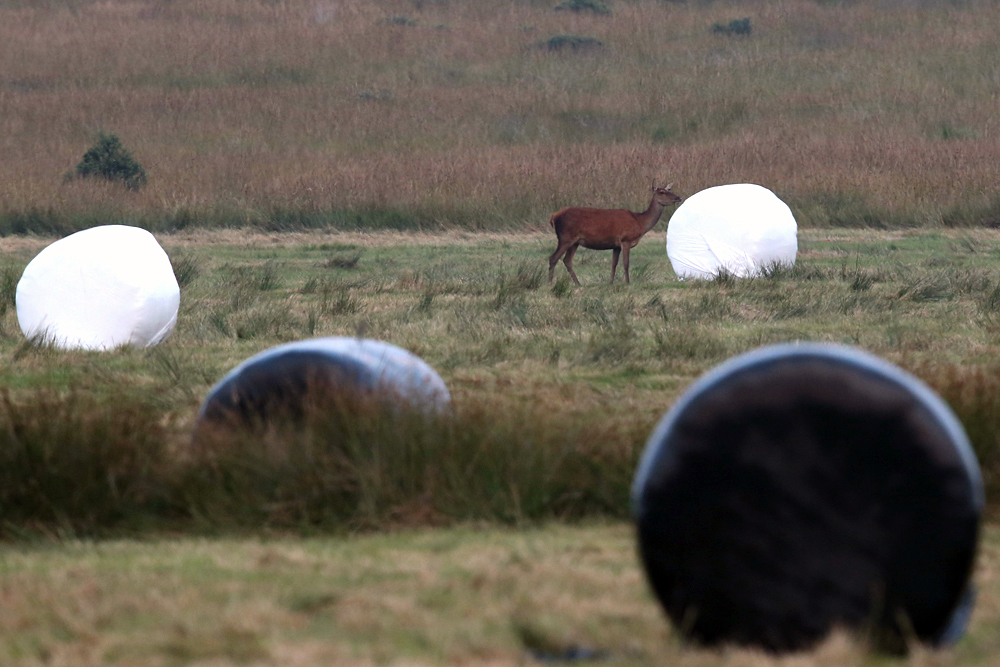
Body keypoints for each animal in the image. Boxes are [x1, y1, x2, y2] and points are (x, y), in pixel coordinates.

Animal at [548, 184, 680, 286]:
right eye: (662, 192)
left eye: (670, 190)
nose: (678, 197)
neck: (640, 222)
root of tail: (554, 216)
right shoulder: (626, 240)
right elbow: (626, 263)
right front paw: (627, 282)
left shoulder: (616, 245)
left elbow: (614, 264)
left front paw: (610, 282)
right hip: (565, 237)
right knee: (553, 258)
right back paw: (550, 283)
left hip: (574, 242)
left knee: (567, 260)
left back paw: (578, 283)